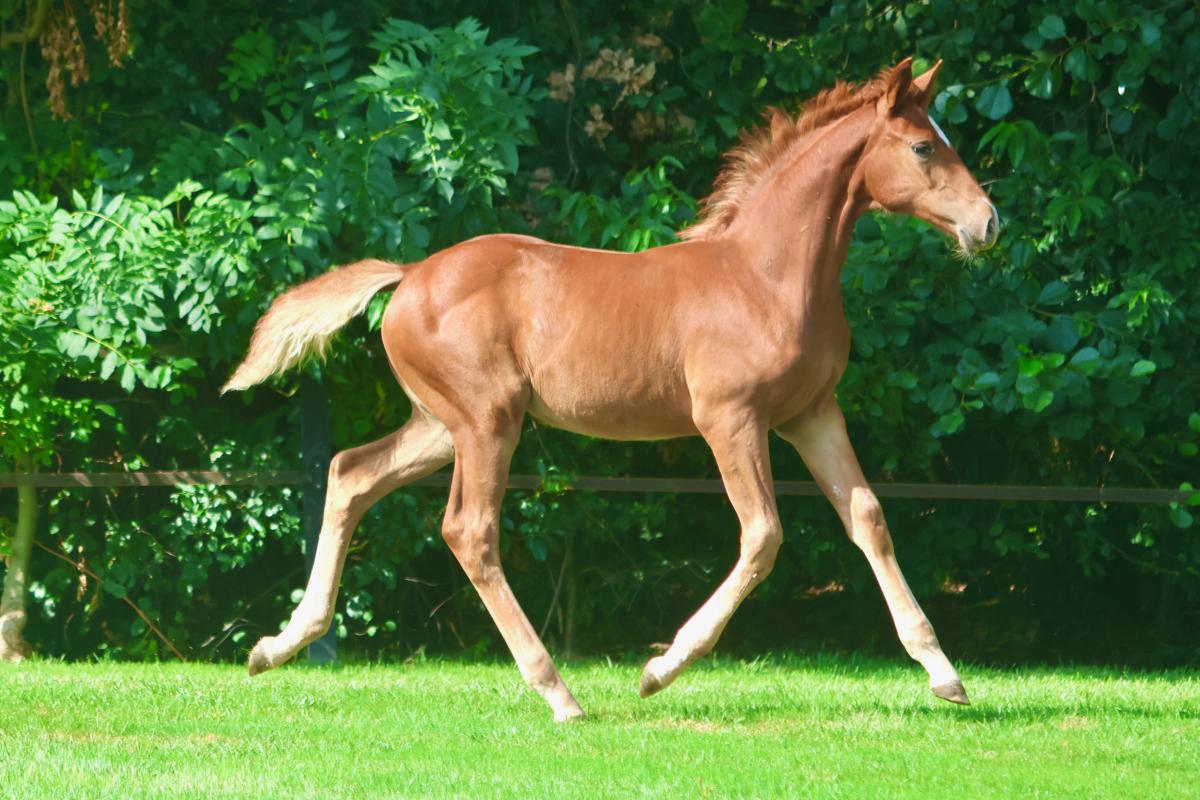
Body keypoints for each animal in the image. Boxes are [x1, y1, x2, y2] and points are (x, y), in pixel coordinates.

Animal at [224, 57, 999, 721]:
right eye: (922, 147)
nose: (989, 223)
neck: (769, 275)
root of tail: (409, 275)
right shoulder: (730, 419)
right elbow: (763, 535)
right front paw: (660, 669)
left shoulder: (811, 413)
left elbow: (868, 517)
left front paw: (944, 674)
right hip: (486, 421)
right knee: (469, 530)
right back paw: (558, 693)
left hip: (441, 425)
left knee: (349, 473)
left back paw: (277, 646)